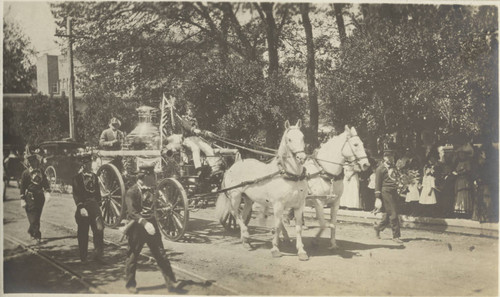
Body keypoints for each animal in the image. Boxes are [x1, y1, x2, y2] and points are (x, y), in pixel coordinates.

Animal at [215, 119, 308, 260]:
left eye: (302, 137)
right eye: (289, 139)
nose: (302, 158)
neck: (290, 176)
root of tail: (232, 167)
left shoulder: (299, 206)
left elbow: (298, 228)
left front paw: (301, 251)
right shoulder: (278, 205)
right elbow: (277, 226)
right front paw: (275, 249)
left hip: (248, 200)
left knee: (243, 216)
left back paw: (245, 241)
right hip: (235, 196)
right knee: (234, 213)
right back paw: (246, 234)